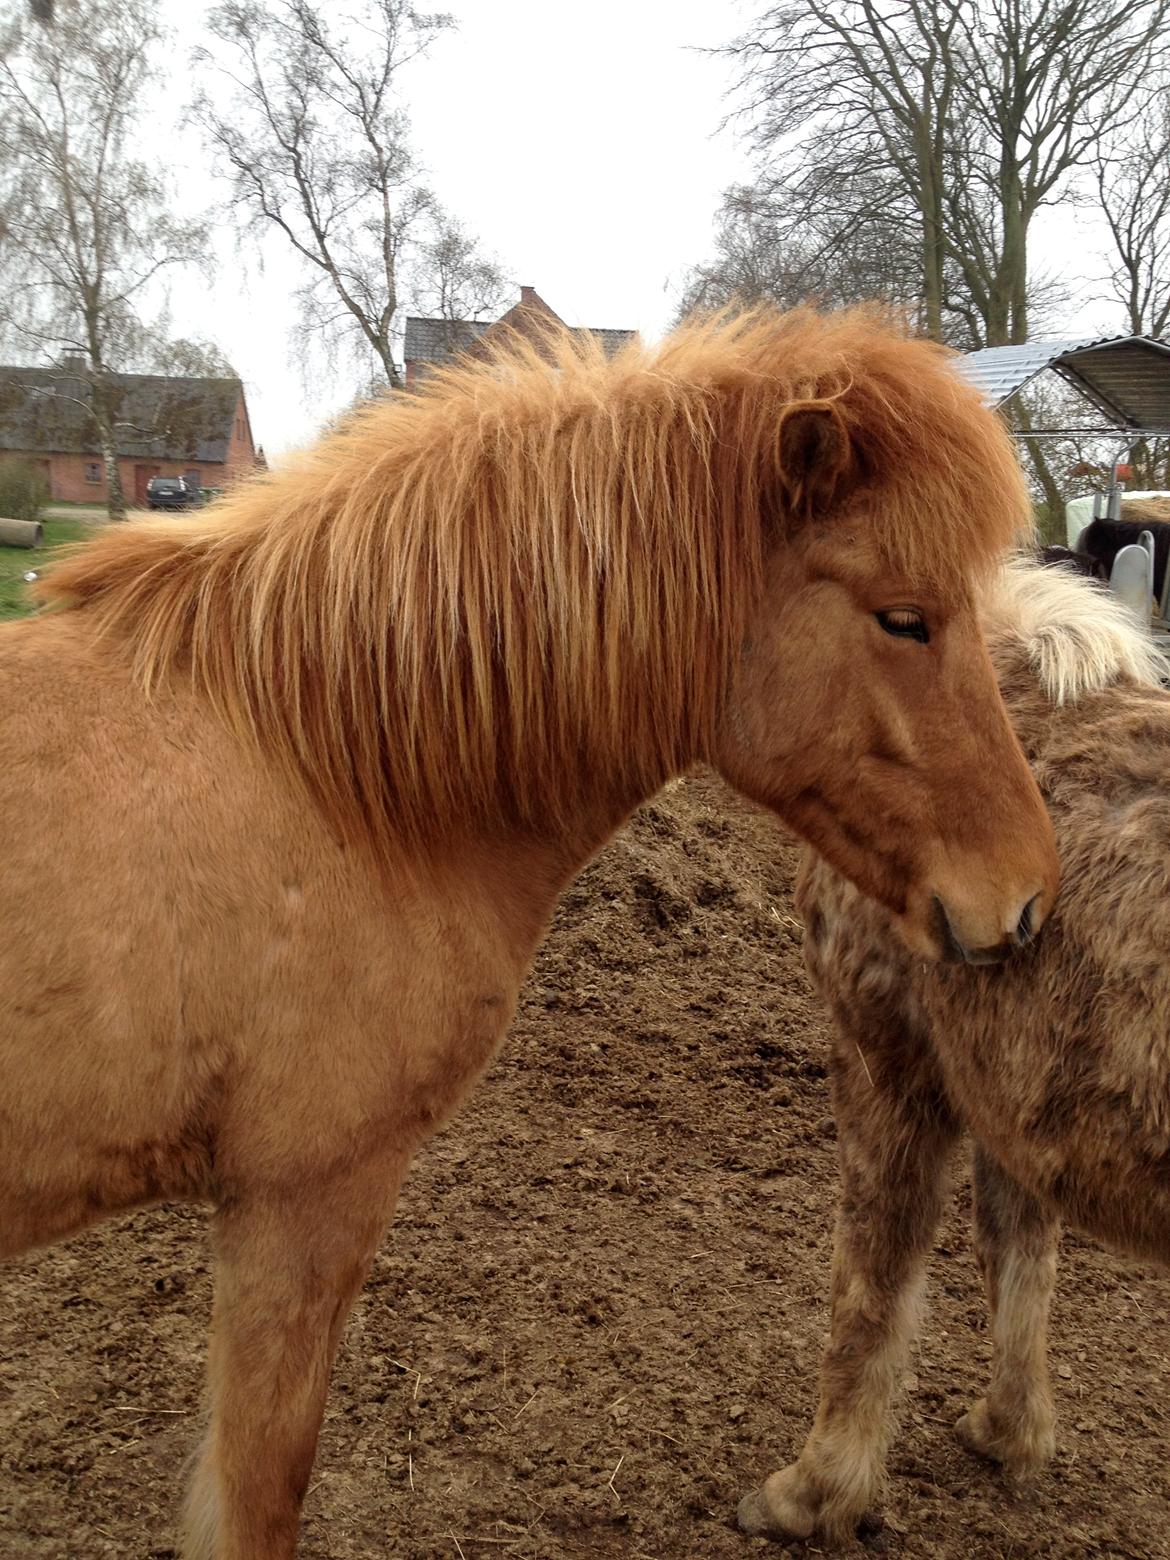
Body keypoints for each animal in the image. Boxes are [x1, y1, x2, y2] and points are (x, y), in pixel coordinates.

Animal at [742, 561, 1170, 1547]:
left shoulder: (890, 1066)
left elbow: (873, 1284)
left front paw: (815, 1493)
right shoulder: (1018, 1097)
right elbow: (1018, 1265)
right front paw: (1010, 1433)